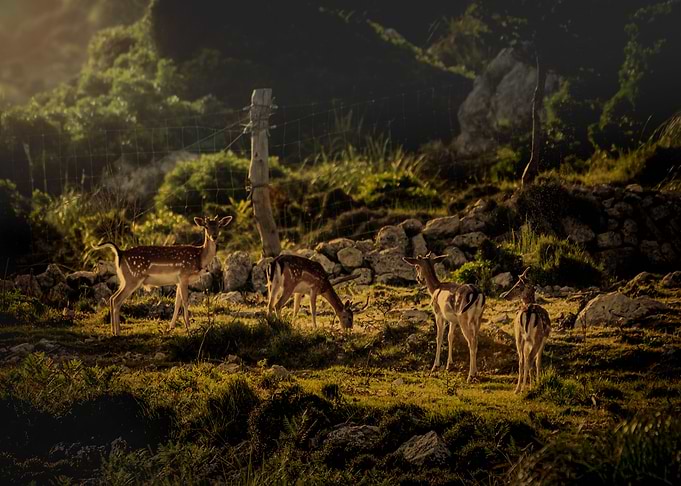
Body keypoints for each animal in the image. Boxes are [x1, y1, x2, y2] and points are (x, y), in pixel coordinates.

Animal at [92, 215, 232, 336]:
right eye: (206, 226)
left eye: (219, 225)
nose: (214, 236)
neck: (200, 259)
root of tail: (120, 253)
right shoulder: (184, 275)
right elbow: (185, 301)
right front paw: (189, 327)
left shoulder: (178, 280)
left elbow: (177, 302)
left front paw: (171, 327)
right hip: (133, 278)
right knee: (116, 300)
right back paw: (117, 332)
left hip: (124, 279)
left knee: (112, 298)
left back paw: (113, 330)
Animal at [403, 253, 486, 382]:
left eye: (416, 266)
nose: (418, 279)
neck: (434, 289)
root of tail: (476, 293)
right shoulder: (452, 319)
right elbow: (450, 336)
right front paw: (449, 365)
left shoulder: (438, 314)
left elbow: (439, 337)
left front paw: (435, 366)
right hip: (478, 318)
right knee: (476, 340)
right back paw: (475, 372)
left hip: (463, 317)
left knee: (471, 341)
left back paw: (470, 375)